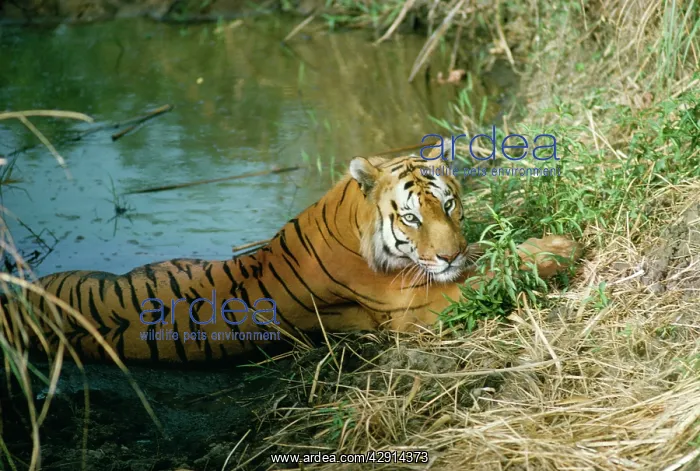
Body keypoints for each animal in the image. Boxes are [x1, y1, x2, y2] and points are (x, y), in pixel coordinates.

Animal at [20, 144, 581, 364]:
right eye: (411, 218)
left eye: (448, 205)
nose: (447, 256)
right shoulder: (411, 304)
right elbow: (490, 274)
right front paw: (558, 249)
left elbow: (489, 253)